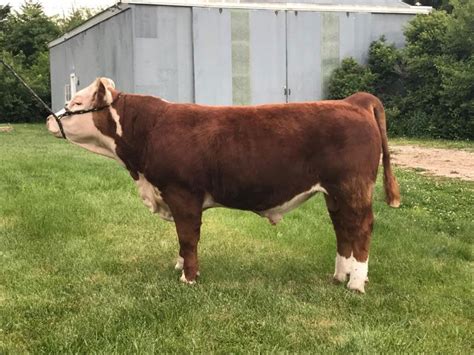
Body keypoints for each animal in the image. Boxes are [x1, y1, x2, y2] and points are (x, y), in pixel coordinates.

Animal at [47, 77, 400, 292]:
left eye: (76, 103)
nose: (50, 118)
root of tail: (352, 101)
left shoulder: (182, 193)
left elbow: (188, 238)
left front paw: (188, 278)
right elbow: (182, 240)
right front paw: (181, 268)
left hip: (353, 187)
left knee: (361, 227)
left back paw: (356, 284)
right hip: (334, 193)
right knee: (343, 228)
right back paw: (340, 275)